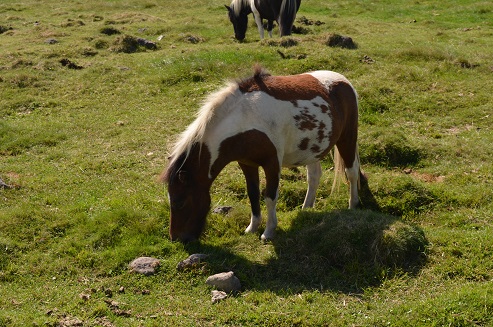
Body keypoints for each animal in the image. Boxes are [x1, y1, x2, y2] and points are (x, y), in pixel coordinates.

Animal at [161, 67, 362, 243]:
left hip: (347, 138)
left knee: (351, 172)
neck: (246, 119)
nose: (177, 239)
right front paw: (252, 227)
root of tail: (343, 81)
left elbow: (270, 196)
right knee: (314, 177)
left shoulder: (272, 163)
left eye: (179, 202)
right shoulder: (247, 163)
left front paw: (269, 231)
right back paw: (306, 208)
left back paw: (353, 205)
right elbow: (253, 193)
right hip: (313, 149)